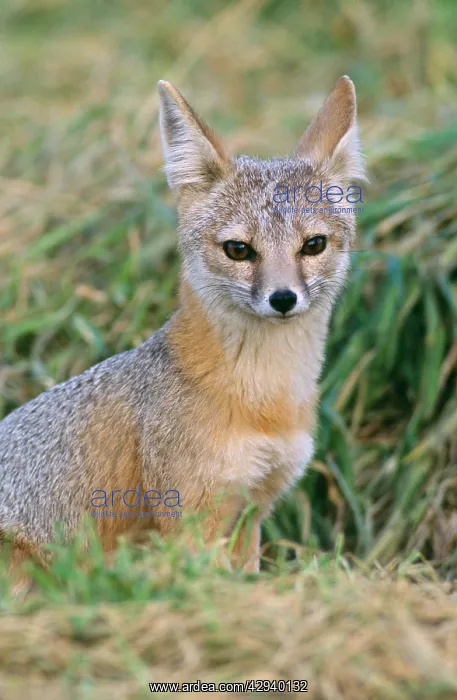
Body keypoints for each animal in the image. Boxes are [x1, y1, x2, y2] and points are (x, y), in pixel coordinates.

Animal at [0, 76, 364, 586]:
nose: (283, 298)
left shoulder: (250, 511)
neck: (264, 399)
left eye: (313, 245)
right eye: (238, 250)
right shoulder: (190, 516)